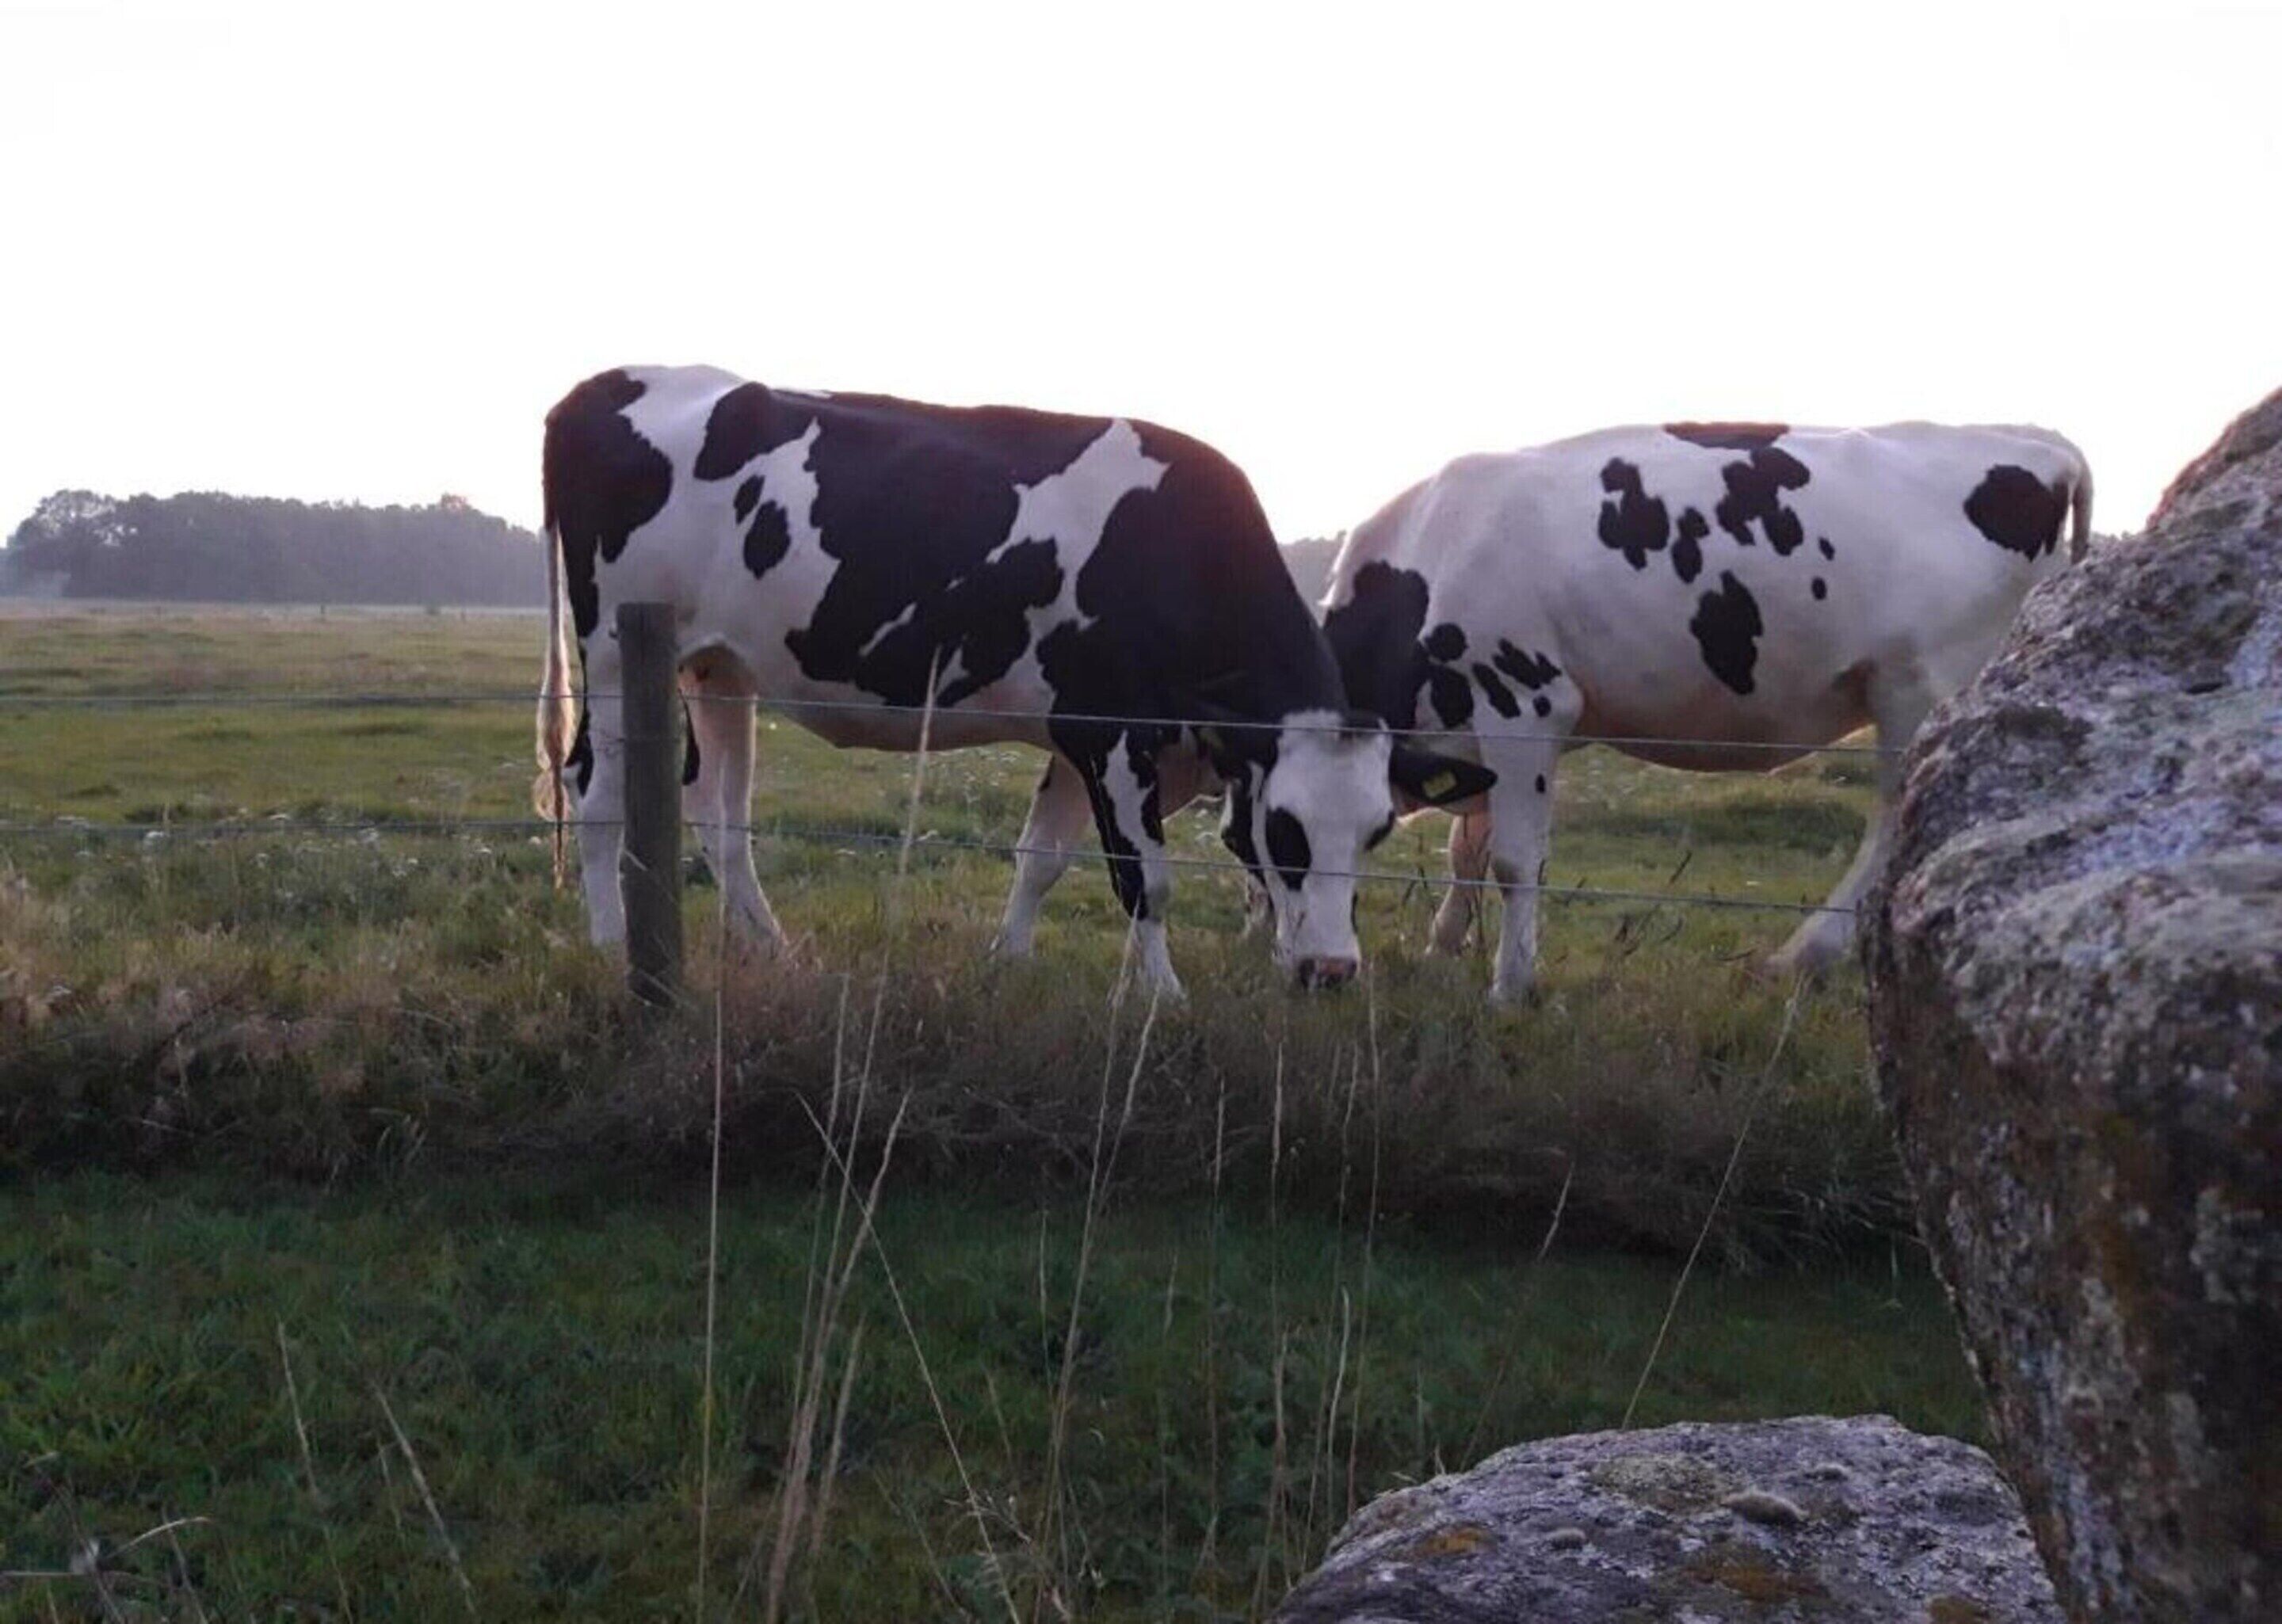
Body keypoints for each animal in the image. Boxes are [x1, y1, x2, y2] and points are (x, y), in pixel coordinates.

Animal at [532, 365, 1489, 999]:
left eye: (1376, 831)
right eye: (1282, 829)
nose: (1332, 969)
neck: (1173, 550)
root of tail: (610, 382)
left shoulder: (1077, 735)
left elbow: (1043, 857)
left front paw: (1010, 960)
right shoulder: (1114, 732)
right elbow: (1144, 876)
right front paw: (1164, 1000)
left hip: (719, 667)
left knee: (718, 812)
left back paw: (771, 947)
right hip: (614, 654)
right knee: (594, 793)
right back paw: (608, 941)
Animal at [1320, 420, 2092, 1004]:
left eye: (1367, 833)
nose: (1319, 975)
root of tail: (2042, 445)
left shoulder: (1526, 700)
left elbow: (1513, 860)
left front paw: (1509, 989)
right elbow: (1466, 848)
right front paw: (1442, 948)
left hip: (1921, 685)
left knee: (1896, 825)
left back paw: (1802, 955)